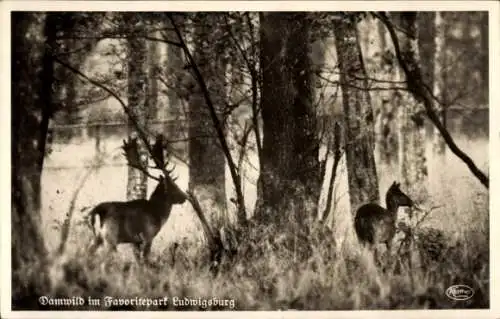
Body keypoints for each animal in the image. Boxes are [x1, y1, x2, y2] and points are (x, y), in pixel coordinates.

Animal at [87, 136, 187, 264]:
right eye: (174, 186)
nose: (185, 196)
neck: (157, 214)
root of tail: (97, 211)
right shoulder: (148, 235)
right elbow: (145, 258)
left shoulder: (136, 241)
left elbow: (138, 259)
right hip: (110, 235)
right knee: (104, 259)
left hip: (96, 237)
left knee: (88, 253)